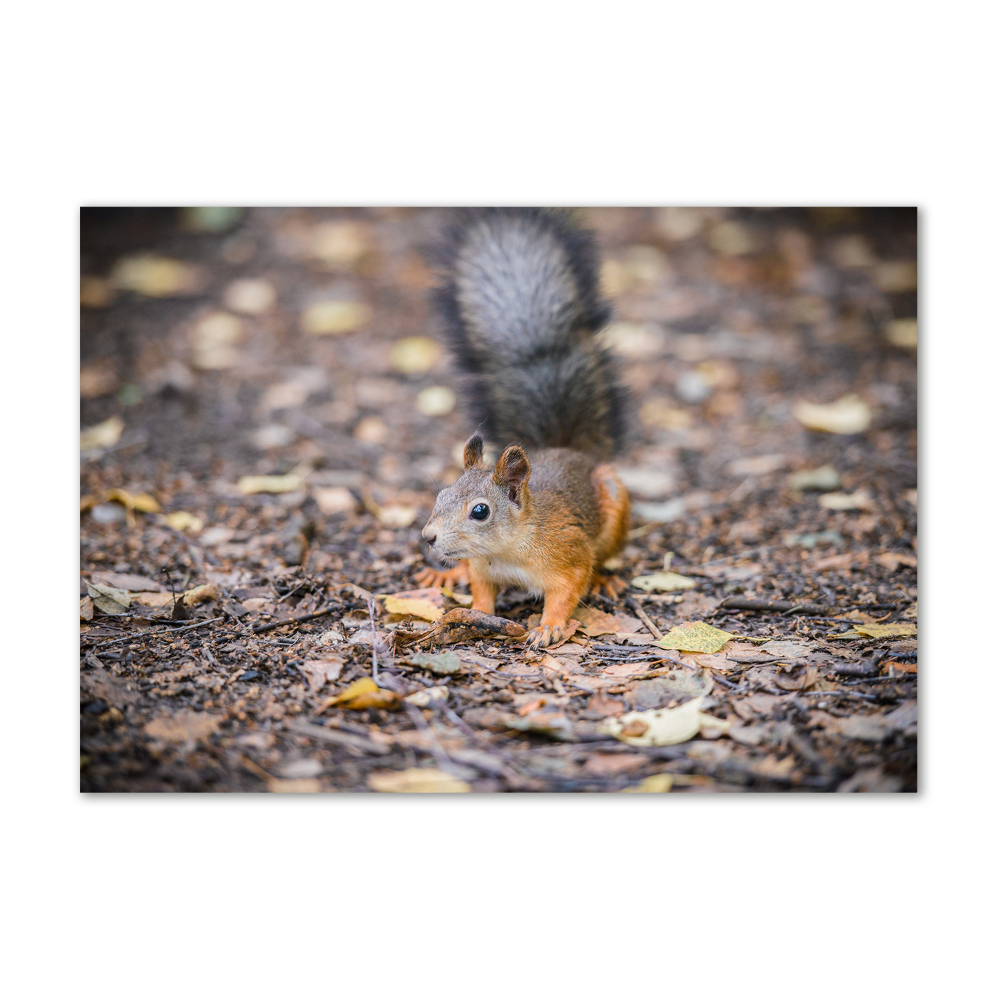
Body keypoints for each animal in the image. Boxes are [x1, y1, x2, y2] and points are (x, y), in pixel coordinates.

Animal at [416, 207, 632, 652]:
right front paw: (473, 610)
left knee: (603, 557)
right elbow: (481, 591)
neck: (508, 550)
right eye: (441, 494)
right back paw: (447, 572)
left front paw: (548, 626)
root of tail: (568, 450)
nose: (428, 538)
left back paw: (605, 578)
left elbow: (568, 591)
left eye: (480, 511)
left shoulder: (568, 555)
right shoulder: (483, 568)